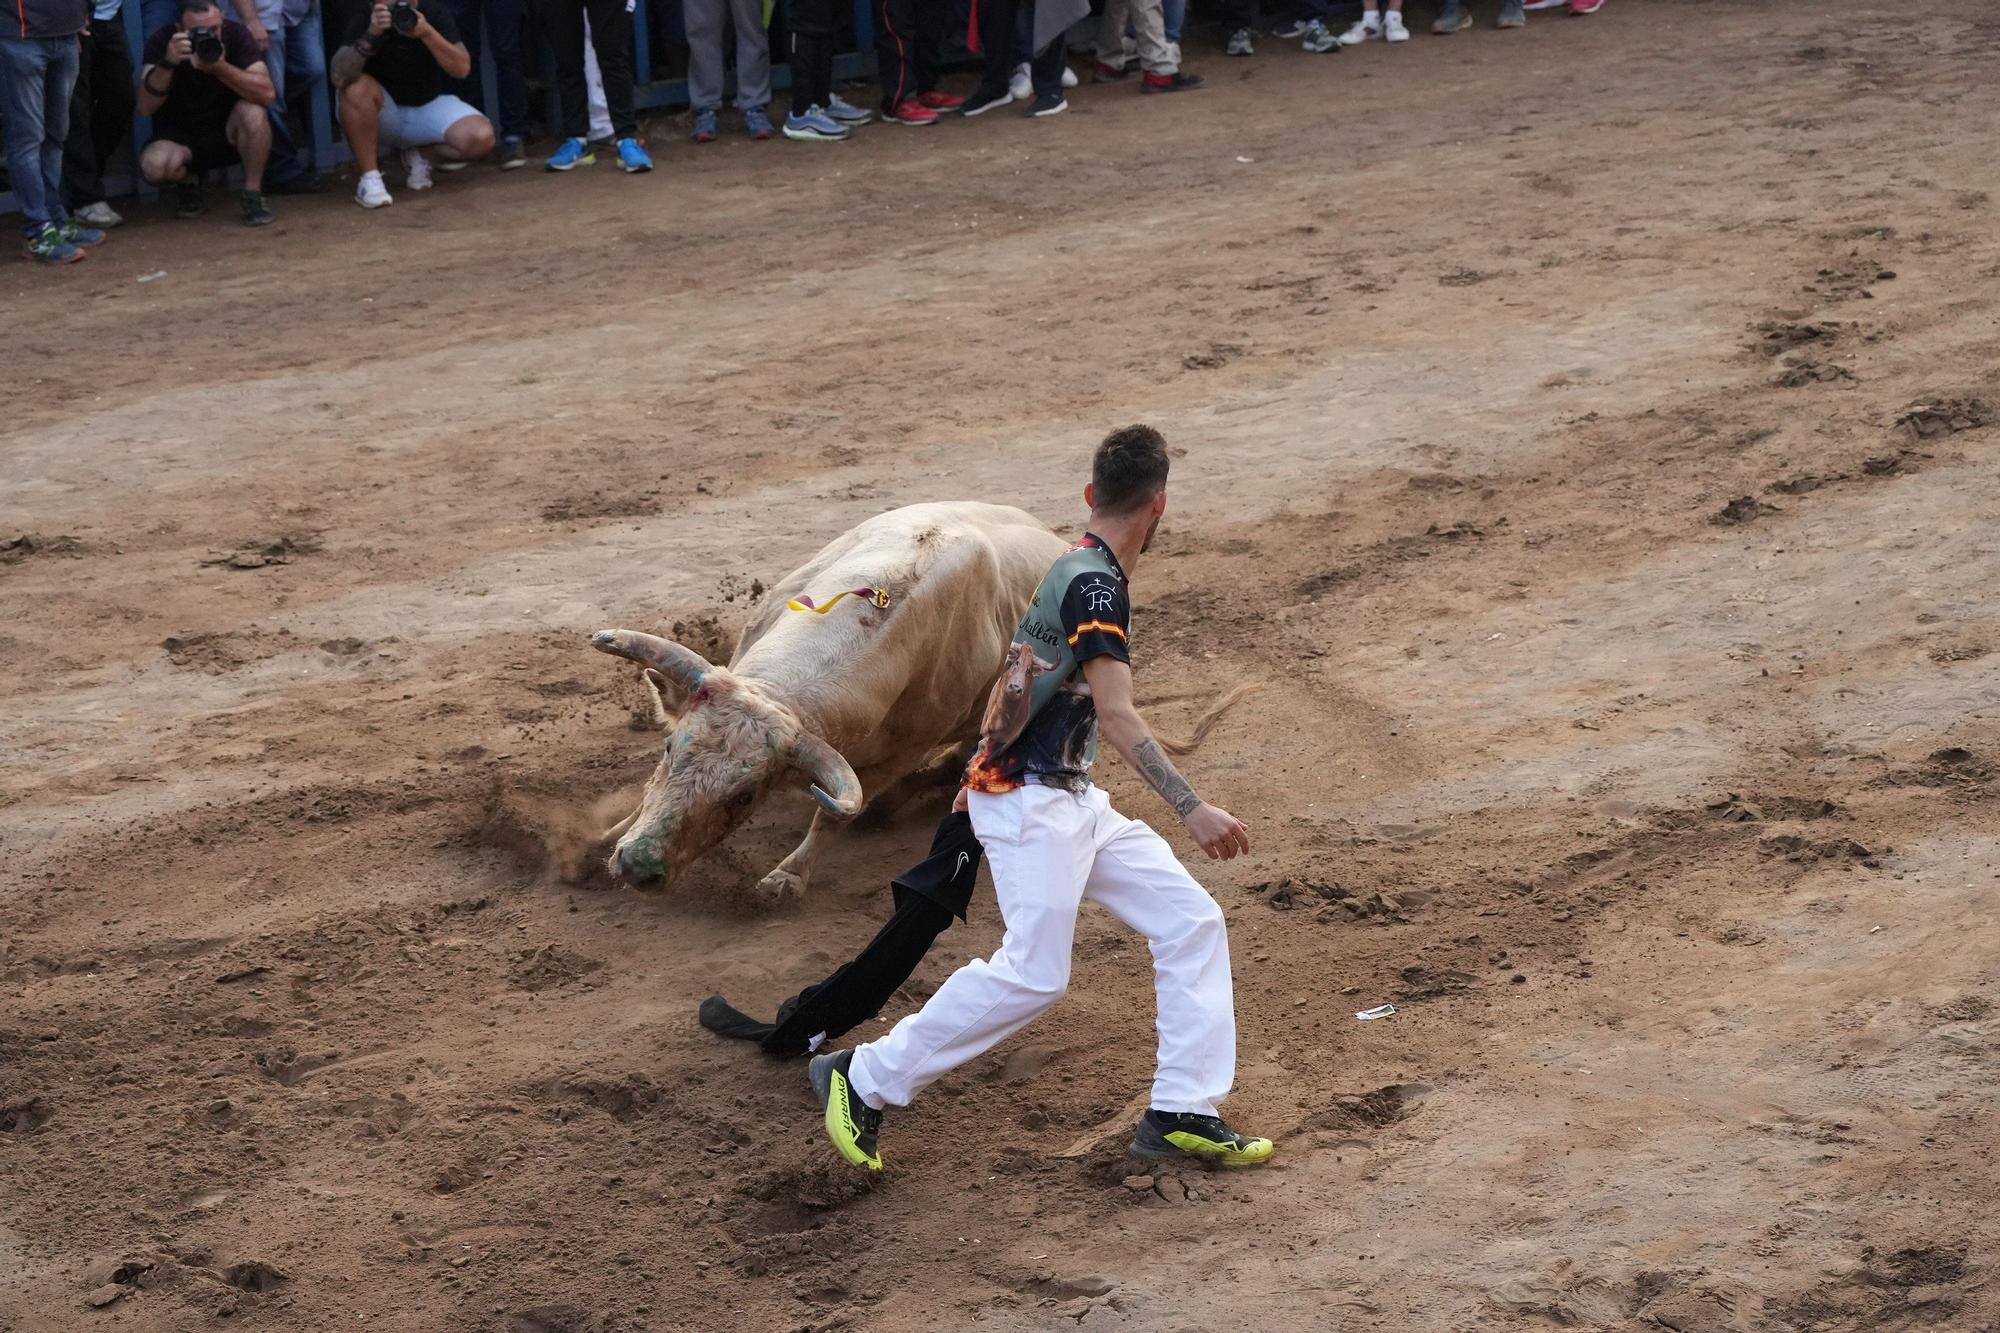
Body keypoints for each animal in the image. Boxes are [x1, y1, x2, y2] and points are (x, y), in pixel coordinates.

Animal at [584, 504, 1072, 896]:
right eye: (669, 749)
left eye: (745, 796)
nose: (637, 866)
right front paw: (608, 836)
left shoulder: (901, 753)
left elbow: (835, 816)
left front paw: (786, 879)